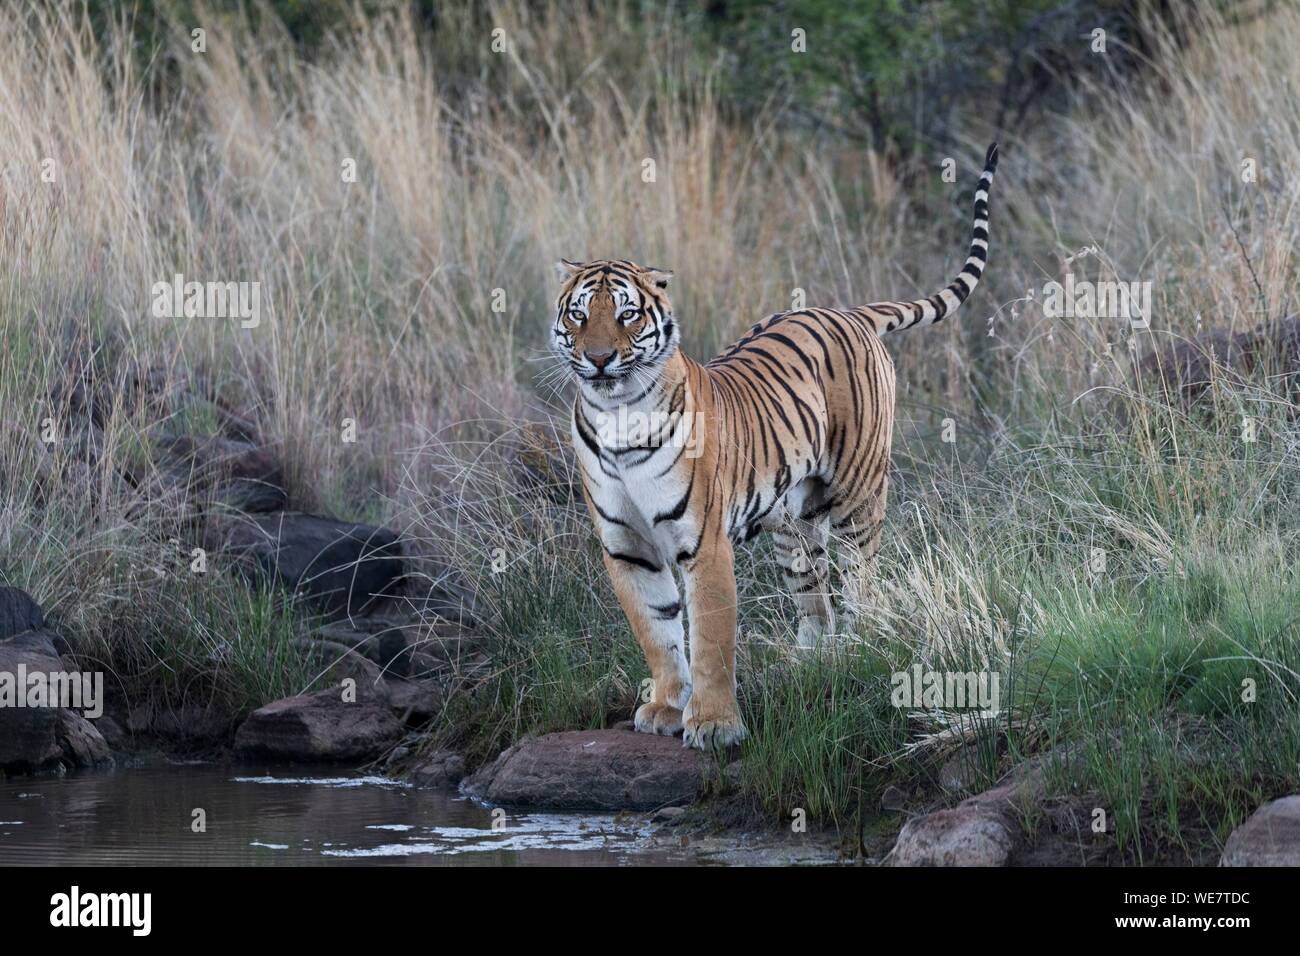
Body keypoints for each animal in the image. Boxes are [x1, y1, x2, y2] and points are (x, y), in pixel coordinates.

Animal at [548, 141, 993, 749]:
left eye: (627, 314)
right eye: (579, 314)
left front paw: (714, 725)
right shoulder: (626, 546)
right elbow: (657, 632)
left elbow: (711, 639)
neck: (618, 414)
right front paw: (666, 706)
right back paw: (811, 664)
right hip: (793, 520)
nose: (597, 359)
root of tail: (848, 311)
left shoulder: (704, 543)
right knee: (815, 600)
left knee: (860, 583)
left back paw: (863, 648)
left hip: (858, 495)